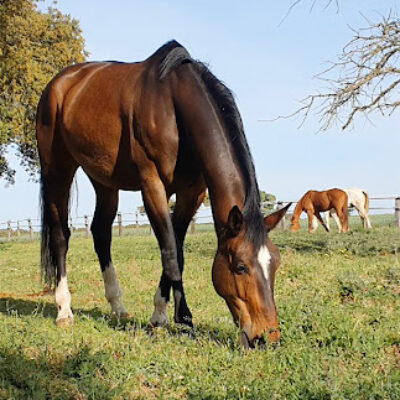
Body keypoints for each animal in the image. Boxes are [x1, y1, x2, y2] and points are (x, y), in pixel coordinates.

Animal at [36, 39, 290, 348]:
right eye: (240, 267)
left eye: (274, 264)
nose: (268, 337)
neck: (174, 105)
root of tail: (59, 83)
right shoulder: (152, 185)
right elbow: (170, 254)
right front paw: (183, 320)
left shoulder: (192, 192)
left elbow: (177, 249)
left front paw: (161, 315)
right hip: (57, 169)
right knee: (61, 236)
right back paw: (64, 310)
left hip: (104, 180)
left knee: (101, 233)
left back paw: (117, 307)